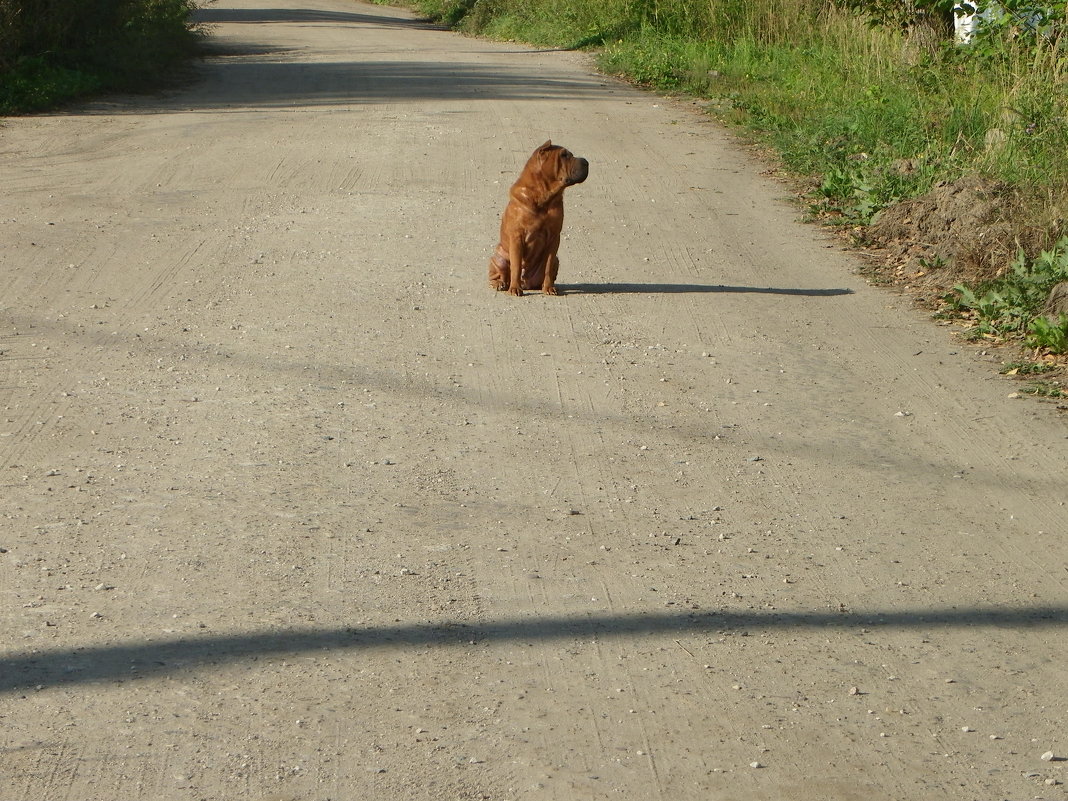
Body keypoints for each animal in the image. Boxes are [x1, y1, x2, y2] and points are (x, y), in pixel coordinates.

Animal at [489, 142, 589, 299]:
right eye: (564, 155)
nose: (586, 161)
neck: (544, 196)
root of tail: (526, 283)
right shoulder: (517, 237)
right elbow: (516, 266)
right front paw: (515, 288)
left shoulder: (554, 238)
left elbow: (547, 266)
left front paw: (548, 288)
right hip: (498, 258)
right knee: (499, 273)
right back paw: (500, 284)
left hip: (556, 261)